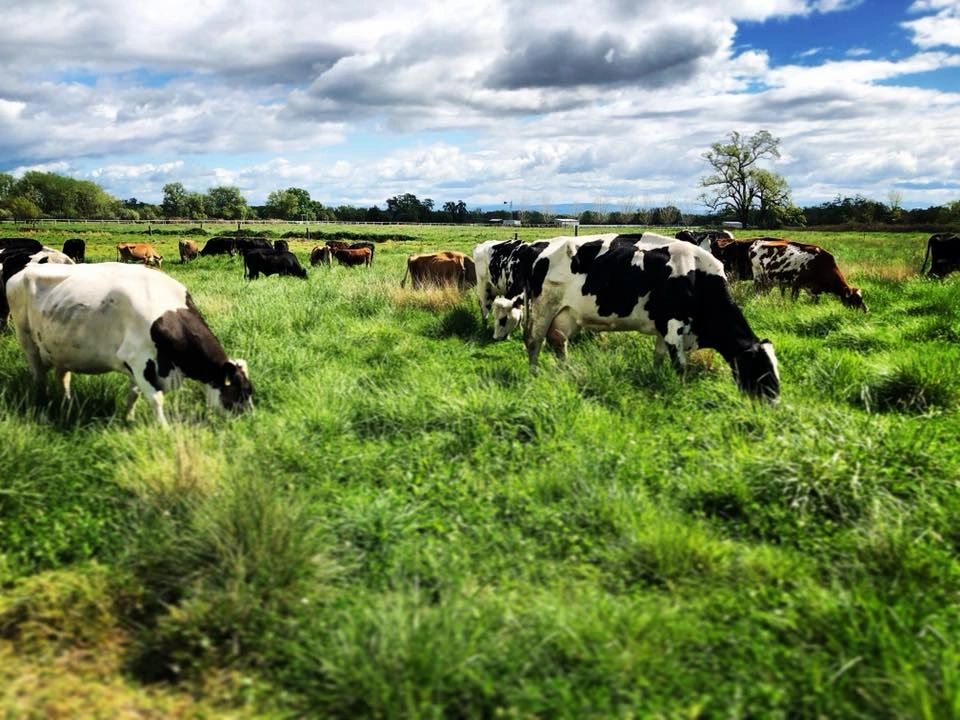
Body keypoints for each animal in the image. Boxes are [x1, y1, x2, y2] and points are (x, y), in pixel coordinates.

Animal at [7, 260, 253, 424]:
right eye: (241, 391)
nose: (249, 422)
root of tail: (22, 271)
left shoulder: (139, 366)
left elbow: (133, 395)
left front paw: (129, 418)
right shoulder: (139, 360)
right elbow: (156, 399)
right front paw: (164, 429)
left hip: (60, 347)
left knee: (62, 375)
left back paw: (67, 403)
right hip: (26, 338)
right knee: (39, 375)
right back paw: (43, 402)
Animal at [516, 236, 780, 402]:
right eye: (763, 369)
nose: (775, 403)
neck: (697, 277)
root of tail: (536, 246)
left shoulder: (664, 328)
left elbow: (659, 357)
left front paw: (656, 379)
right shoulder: (674, 326)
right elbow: (680, 366)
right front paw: (681, 392)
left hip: (565, 314)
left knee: (558, 342)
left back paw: (566, 372)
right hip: (543, 309)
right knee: (534, 342)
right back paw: (533, 375)